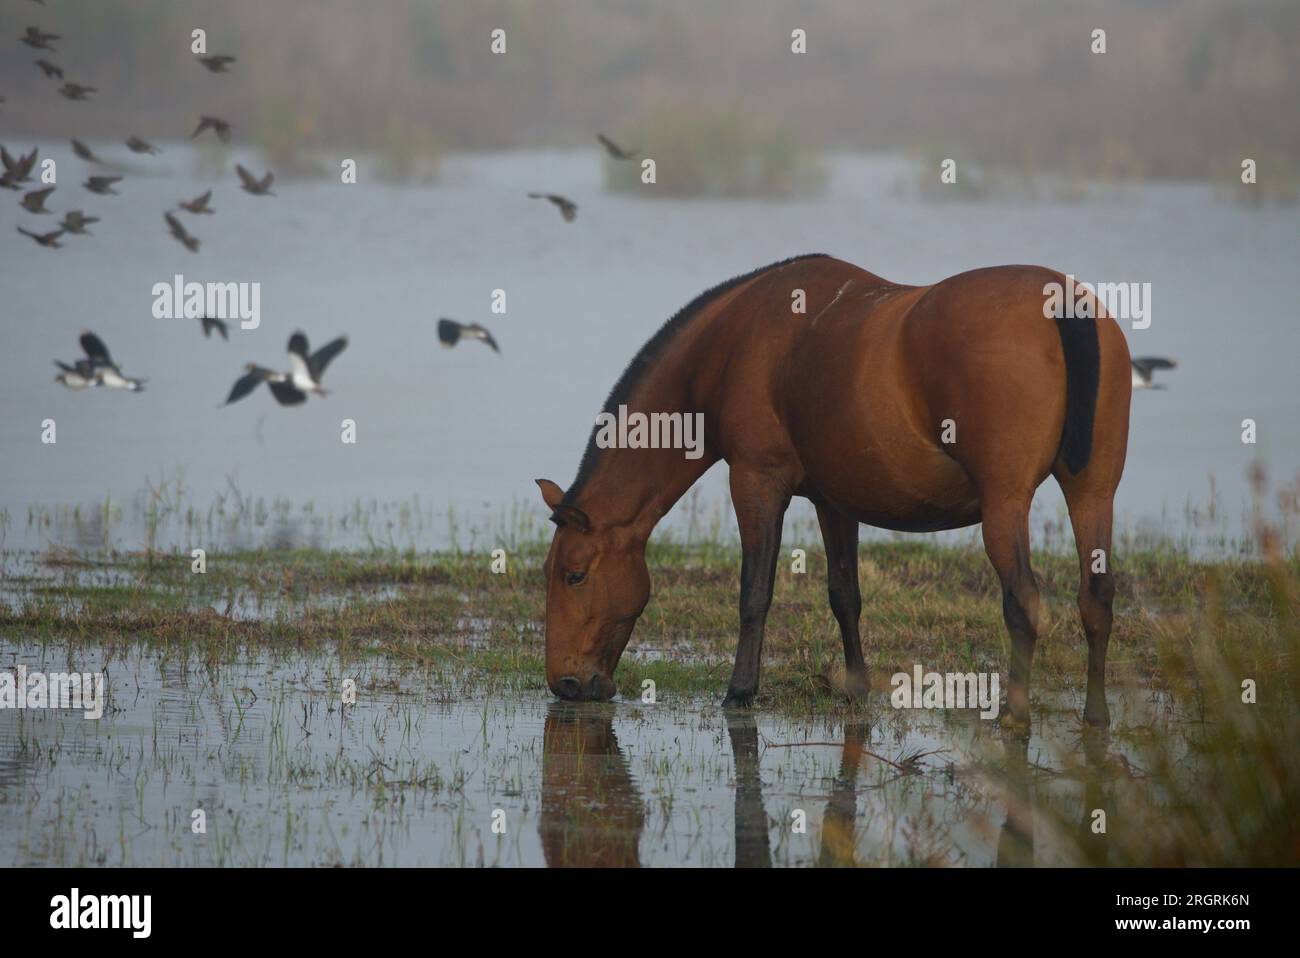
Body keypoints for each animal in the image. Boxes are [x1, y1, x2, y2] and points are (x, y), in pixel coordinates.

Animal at [535, 254, 1131, 727]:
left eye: (574, 575)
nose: (567, 684)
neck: (737, 345)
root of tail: (1059, 301)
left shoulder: (756, 480)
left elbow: (755, 592)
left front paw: (740, 691)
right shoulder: (834, 500)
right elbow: (845, 595)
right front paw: (856, 687)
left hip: (1004, 504)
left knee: (1023, 600)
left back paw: (1015, 711)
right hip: (1094, 492)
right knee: (1096, 597)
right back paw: (1097, 714)